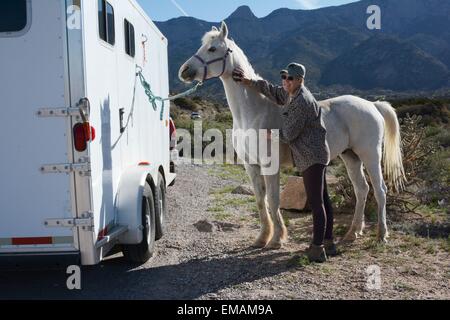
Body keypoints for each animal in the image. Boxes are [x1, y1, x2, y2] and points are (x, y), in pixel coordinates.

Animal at [179, 21, 408, 249]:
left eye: (212, 49)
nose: (184, 71)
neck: (253, 112)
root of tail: (372, 105)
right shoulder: (250, 165)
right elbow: (260, 200)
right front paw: (262, 237)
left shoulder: (270, 165)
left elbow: (273, 200)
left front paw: (277, 239)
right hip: (350, 156)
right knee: (362, 189)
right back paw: (353, 233)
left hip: (370, 155)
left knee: (380, 190)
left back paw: (381, 235)